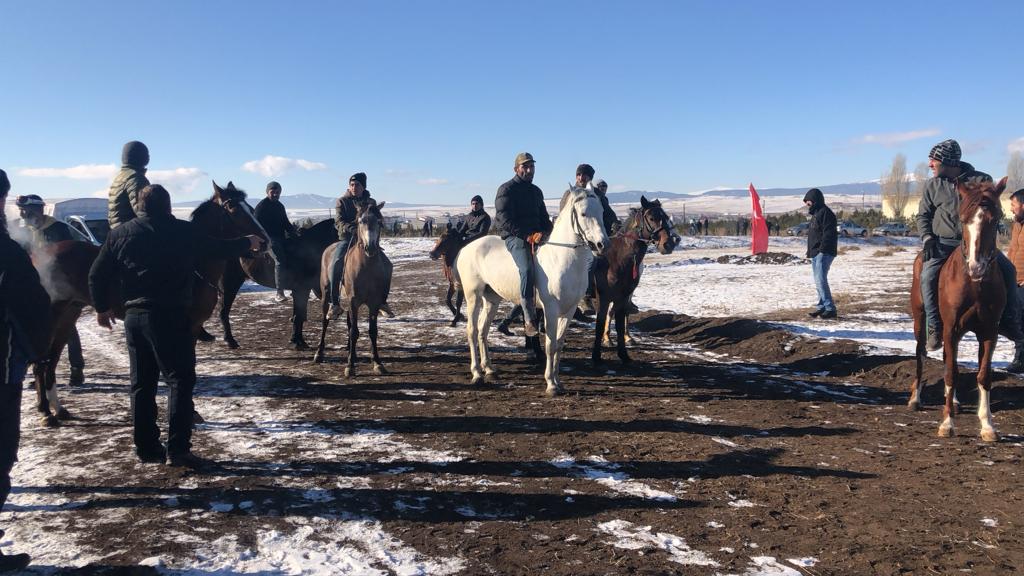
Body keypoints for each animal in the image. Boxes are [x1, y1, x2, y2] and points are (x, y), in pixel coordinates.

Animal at [217, 216, 339, 348]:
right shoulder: (301, 290)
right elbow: (298, 316)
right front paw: (297, 342)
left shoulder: (303, 290)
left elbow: (299, 315)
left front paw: (297, 340)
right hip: (230, 284)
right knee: (223, 312)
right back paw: (230, 341)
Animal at [311, 196, 391, 377]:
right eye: (360, 221)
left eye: (379, 221)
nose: (370, 248)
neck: (366, 267)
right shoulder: (354, 301)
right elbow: (354, 331)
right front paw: (350, 366)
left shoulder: (373, 303)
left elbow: (372, 331)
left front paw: (377, 363)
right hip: (327, 296)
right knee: (325, 321)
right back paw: (319, 353)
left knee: (349, 325)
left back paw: (352, 352)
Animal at [456, 183, 606, 393]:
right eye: (583, 213)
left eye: (601, 211)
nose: (602, 244)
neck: (562, 258)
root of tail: (466, 248)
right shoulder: (551, 310)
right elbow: (550, 345)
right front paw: (550, 384)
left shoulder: (568, 310)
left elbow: (559, 345)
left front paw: (558, 381)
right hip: (473, 297)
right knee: (471, 331)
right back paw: (477, 373)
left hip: (491, 300)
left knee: (482, 331)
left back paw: (489, 369)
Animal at [589, 193, 675, 362]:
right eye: (651, 217)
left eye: (665, 216)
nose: (668, 245)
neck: (617, 259)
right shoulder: (603, 298)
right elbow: (600, 324)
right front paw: (596, 356)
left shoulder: (623, 298)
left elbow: (620, 324)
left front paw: (623, 354)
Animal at [909, 175, 1011, 438]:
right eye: (963, 219)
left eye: (995, 218)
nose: (977, 266)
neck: (974, 285)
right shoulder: (951, 329)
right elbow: (950, 373)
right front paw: (947, 424)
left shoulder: (989, 331)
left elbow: (983, 375)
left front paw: (988, 426)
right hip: (920, 322)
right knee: (921, 355)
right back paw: (916, 399)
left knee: (948, 360)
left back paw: (953, 401)